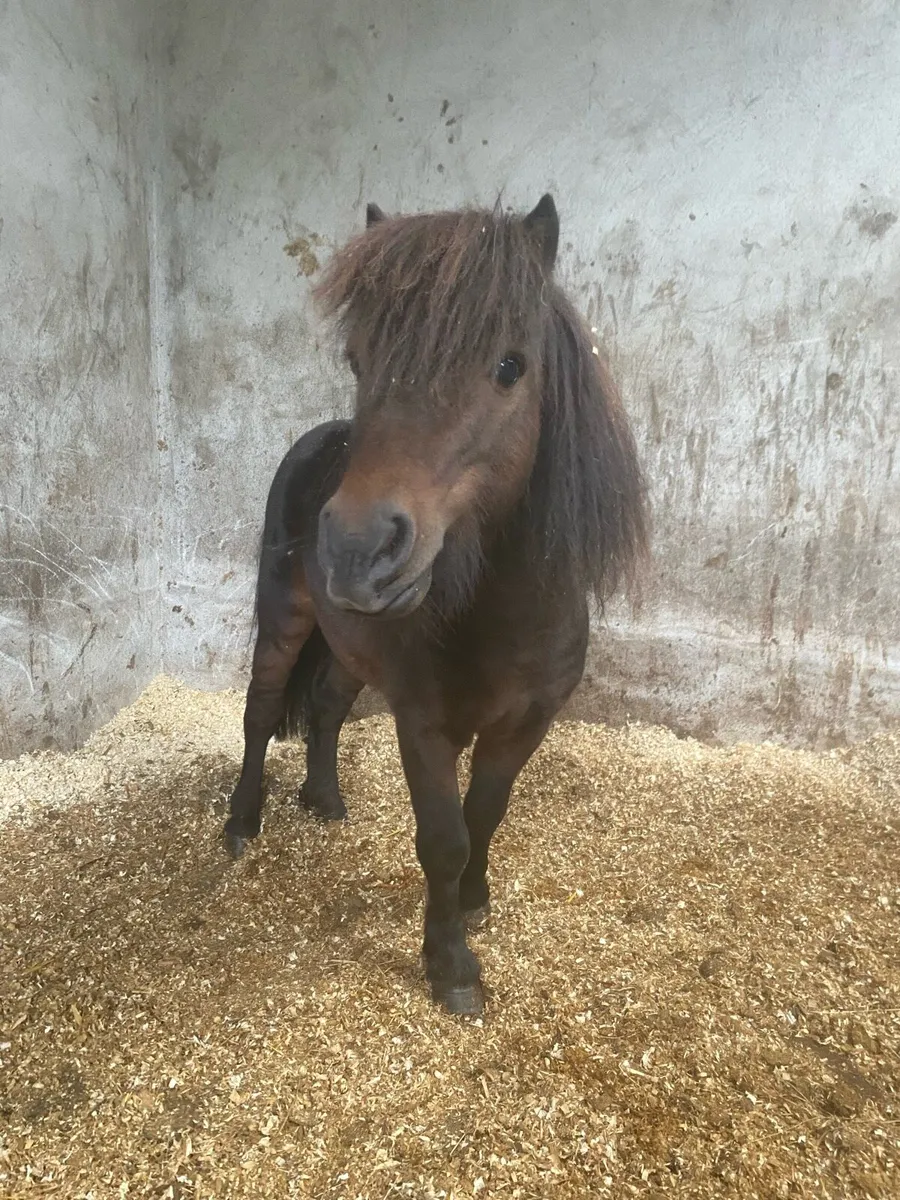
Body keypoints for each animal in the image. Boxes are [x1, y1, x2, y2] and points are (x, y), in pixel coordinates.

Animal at [224, 194, 648, 1016]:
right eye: (358, 360)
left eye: (510, 366)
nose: (356, 551)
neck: (503, 612)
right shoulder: (424, 727)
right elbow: (443, 839)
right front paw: (450, 965)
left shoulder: (525, 725)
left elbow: (485, 816)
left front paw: (475, 904)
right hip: (285, 620)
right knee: (262, 712)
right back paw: (241, 821)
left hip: (349, 645)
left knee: (326, 707)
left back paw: (323, 798)